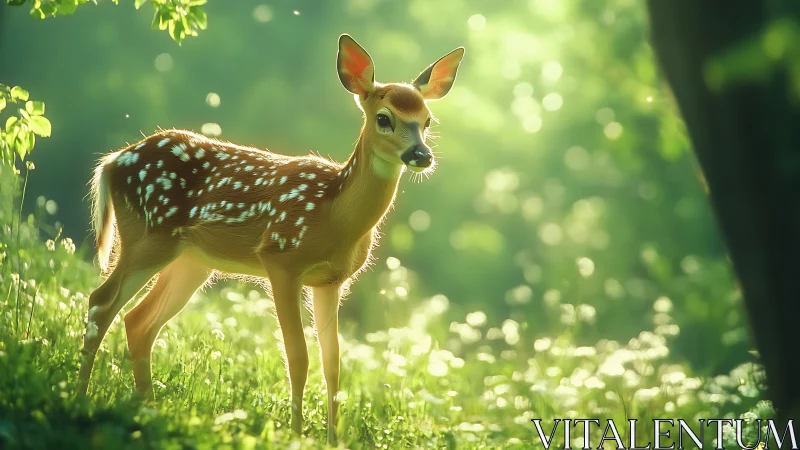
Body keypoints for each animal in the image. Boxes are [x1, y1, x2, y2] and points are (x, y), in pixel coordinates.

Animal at [77, 33, 464, 444]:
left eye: (427, 121)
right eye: (384, 118)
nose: (421, 155)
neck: (335, 214)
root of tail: (112, 162)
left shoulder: (332, 281)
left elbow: (333, 362)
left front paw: (333, 441)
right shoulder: (281, 259)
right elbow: (298, 356)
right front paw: (295, 435)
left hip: (191, 260)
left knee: (138, 320)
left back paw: (147, 409)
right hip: (149, 235)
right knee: (102, 301)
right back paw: (80, 395)